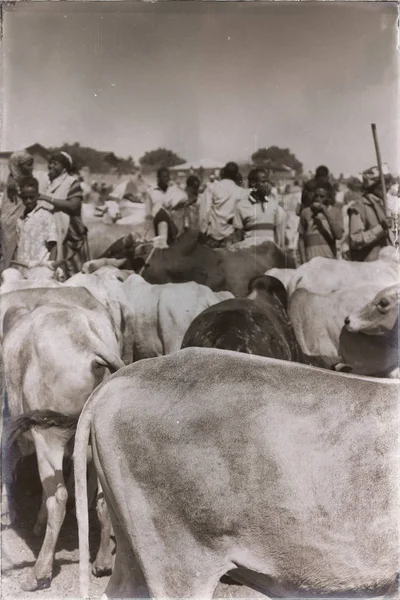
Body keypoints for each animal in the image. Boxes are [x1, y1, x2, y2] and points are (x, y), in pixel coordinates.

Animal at [0, 288, 124, 592]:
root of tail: (88, 338)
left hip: (49, 436)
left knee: (58, 499)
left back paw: (39, 572)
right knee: (102, 498)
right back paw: (102, 562)